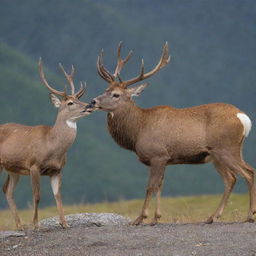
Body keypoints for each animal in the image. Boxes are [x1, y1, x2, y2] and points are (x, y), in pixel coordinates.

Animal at [0, 60, 92, 230]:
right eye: (70, 103)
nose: (89, 106)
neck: (51, 145)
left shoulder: (57, 170)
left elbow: (58, 195)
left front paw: (65, 223)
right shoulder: (33, 165)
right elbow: (37, 195)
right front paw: (36, 224)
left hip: (13, 169)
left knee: (7, 190)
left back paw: (19, 225)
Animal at [88, 43, 256, 225]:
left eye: (116, 94)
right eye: (105, 89)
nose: (92, 101)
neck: (138, 129)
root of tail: (243, 118)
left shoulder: (157, 155)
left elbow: (150, 186)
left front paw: (140, 218)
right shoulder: (165, 159)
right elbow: (160, 185)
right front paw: (156, 217)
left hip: (226, 148)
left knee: (248, 173)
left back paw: (249, 215)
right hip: (219, 154)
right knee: (231, 178)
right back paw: (212, 217)